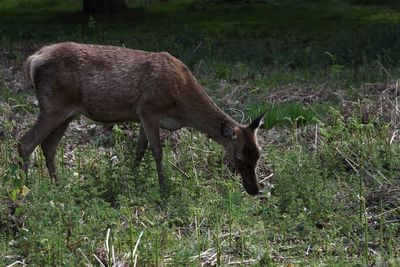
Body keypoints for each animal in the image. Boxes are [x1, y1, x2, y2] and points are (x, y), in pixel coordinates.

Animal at [18, 43, 266, 196]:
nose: (254, 190)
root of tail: (32, 60)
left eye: (258, 156)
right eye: (238, 157)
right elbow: (157, 152)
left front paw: (132, 181)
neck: (182, 105)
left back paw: (58, 185)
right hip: (52, 106)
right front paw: (163, 189)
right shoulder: (148, 109)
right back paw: (25, 188)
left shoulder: (140, 116)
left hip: (67, 113)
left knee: (48, 146)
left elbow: (139, 150)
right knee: (26, 143)